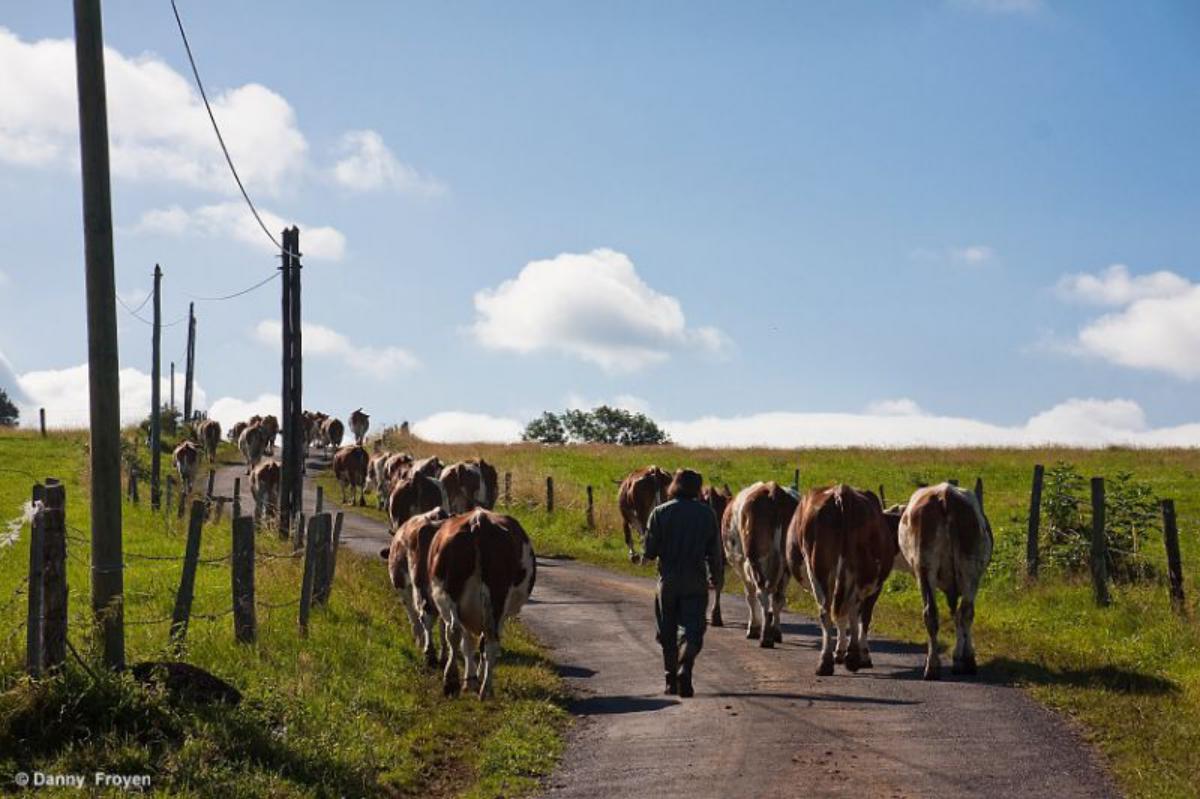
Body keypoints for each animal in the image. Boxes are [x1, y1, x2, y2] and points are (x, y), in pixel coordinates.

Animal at [376, 503, 451, 667]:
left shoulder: (402, 586)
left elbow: (412, 614)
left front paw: (418, 640)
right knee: (446, 620)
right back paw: (443, 656)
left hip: (420, 584)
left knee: (426, 616)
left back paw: (430, 654)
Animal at [424, 511, 532, 695]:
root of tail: (479, 520)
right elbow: (476, 644)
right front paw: (475, 678)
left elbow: (468, 644)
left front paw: (471, 679)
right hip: (496, 599)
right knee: (491, 640)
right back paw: (486, 689)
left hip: (450, 591)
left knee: (454, 631)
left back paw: (451, 681)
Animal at [720, 479, 796, 647]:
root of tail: (773, 489)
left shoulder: (741, 564)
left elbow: (749, 595)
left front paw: (753, 628)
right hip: (786, 565)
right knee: (778, 597)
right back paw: (775, 632)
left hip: (755, 558)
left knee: (762, 593)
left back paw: (765, 637)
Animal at [787, 482, 902, 676]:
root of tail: (841, 492)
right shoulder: (875, 587)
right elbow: (863, 617)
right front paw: (859, 655)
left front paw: (842, 653)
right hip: (858, 572)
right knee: (850, 608)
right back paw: (851, 658)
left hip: (818, 569)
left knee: (827, 610)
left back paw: (826, 662)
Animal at [902, 479, 993, 676]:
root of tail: (946, 495)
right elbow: (959, 615)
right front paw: (961, 656)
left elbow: (955, 614)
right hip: (969, 567)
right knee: (965, 612)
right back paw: (966, 662)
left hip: (925, 568)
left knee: (933, 613)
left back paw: (932, 665)